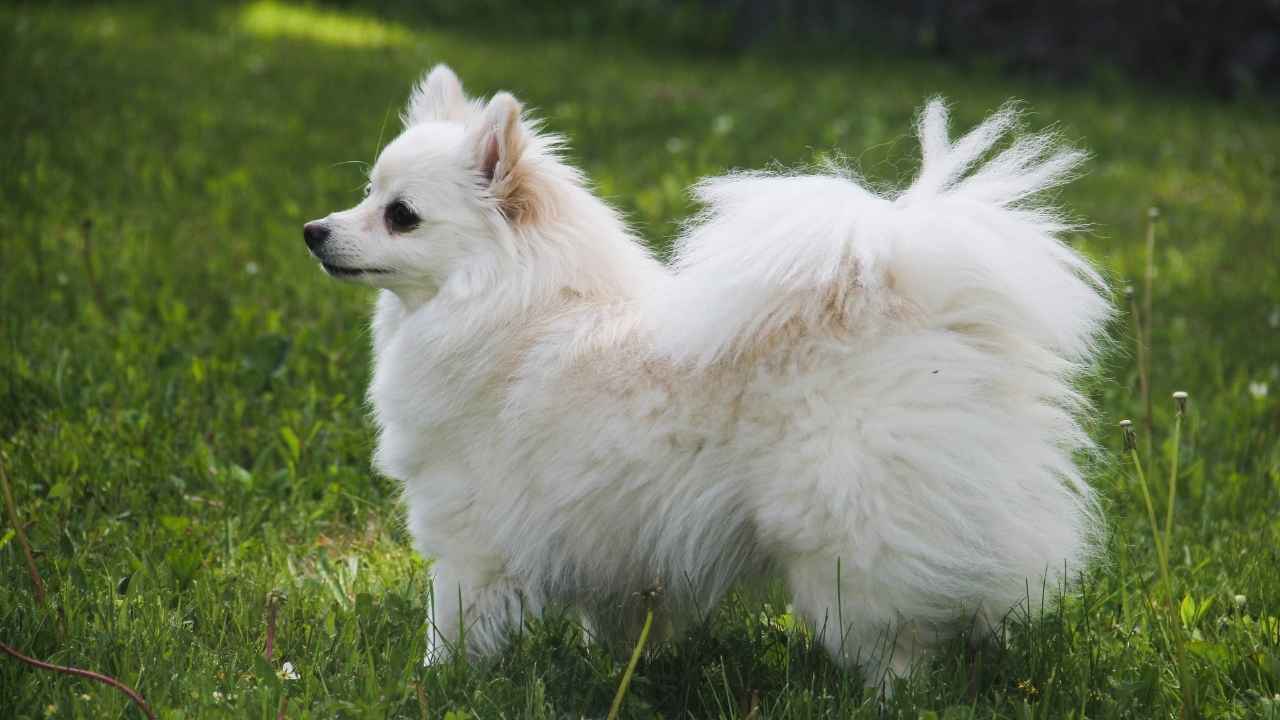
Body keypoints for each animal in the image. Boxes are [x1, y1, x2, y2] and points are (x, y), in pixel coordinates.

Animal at [302, 64, 1111, 681]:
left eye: (401, 215)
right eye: (366, 194)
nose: (314, 230)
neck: (514, 305)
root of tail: (924, 312)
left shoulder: (468, 537)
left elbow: (451, 626)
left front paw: (434, 685)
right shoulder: (615, 543)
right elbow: (622, 623)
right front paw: (616, 672)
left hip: (844, 555)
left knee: (893, 652)